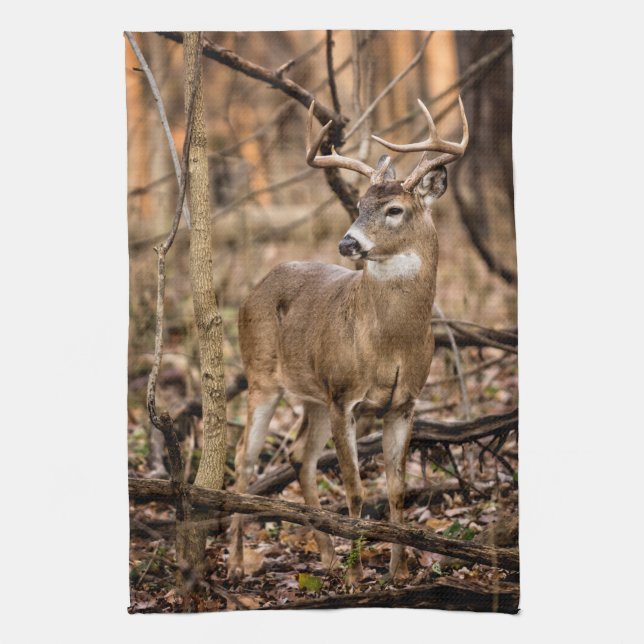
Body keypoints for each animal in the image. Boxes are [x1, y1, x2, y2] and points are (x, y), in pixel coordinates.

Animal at [228, 97, 468, 584]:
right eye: (357, 204)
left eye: (394, 209)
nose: (347, 243)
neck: (391, 344)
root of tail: (254, 288)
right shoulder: (344, 396)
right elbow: (356, 491)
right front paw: (359, 577)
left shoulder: (404, 403)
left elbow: (396, 491)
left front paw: (398, 571)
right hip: (262, 375)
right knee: (245, 457)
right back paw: (239, 563)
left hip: (313, 396)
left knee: (299, 457)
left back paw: (326, 557)